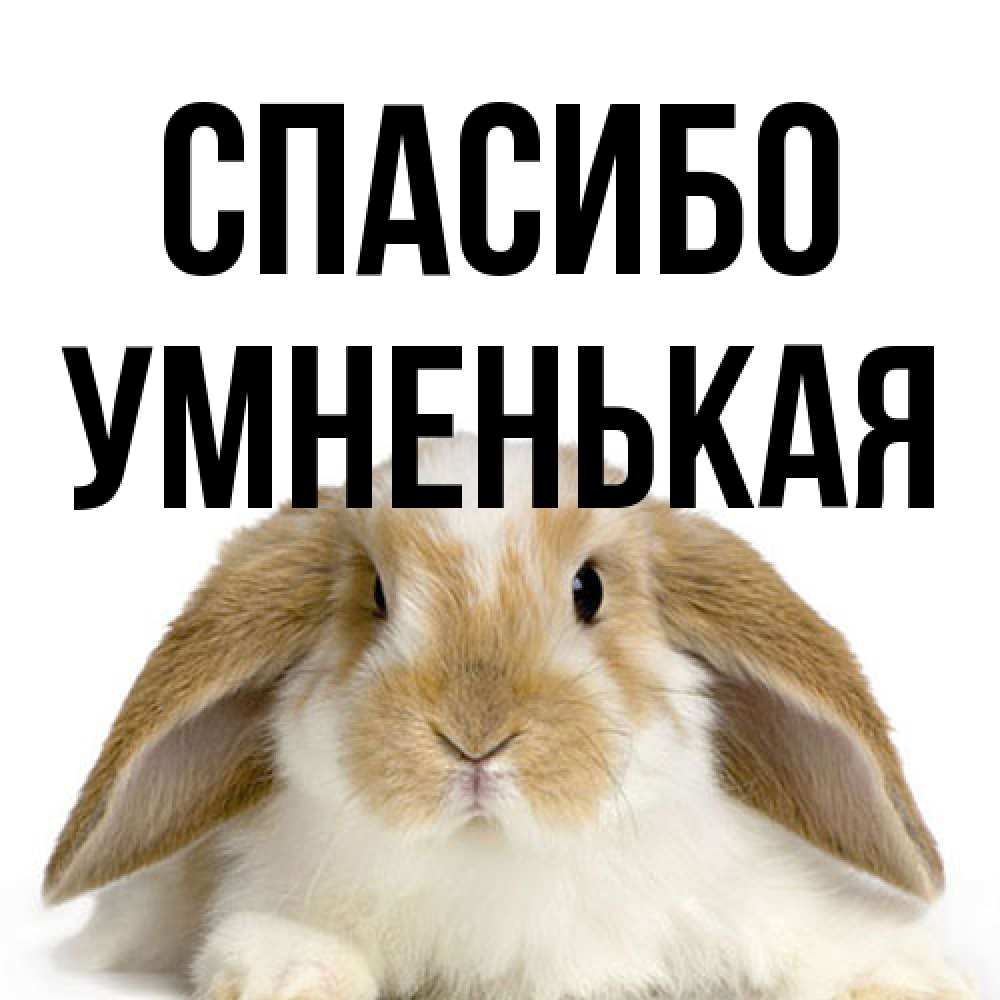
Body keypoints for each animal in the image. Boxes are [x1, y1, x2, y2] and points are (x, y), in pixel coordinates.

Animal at [45, 436, 975, 1000]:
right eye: (375, 596)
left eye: (589, 589)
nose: (475, 737)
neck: (495, 857)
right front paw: (291, 977)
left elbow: (817, 939)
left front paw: (909, 978)